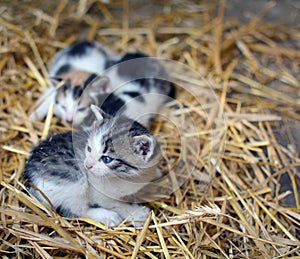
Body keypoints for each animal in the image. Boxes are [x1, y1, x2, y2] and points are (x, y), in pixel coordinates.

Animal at [23, 105, 161, 228]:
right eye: (89, 149)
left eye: (107, 159)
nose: (87, 165)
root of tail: (29, 172)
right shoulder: (99, 192)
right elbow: (115, 203)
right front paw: (137, 213)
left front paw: (158, 173)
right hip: (74, 180)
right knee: (77, 209)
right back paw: (107, 216)